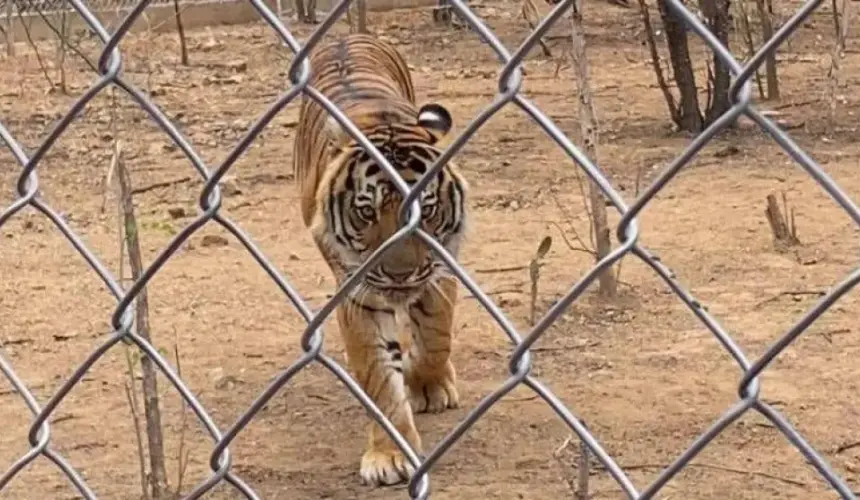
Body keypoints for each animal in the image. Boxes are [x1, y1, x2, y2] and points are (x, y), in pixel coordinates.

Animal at [290, 33, 466, 486]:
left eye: (426, 209)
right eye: (366, 212)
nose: (400, 273)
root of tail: (343, 35)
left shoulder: (441, 269)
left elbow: (436, 334)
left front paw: (428, 384)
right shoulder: (359, 295)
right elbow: (378, 377)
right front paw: (390, 455)